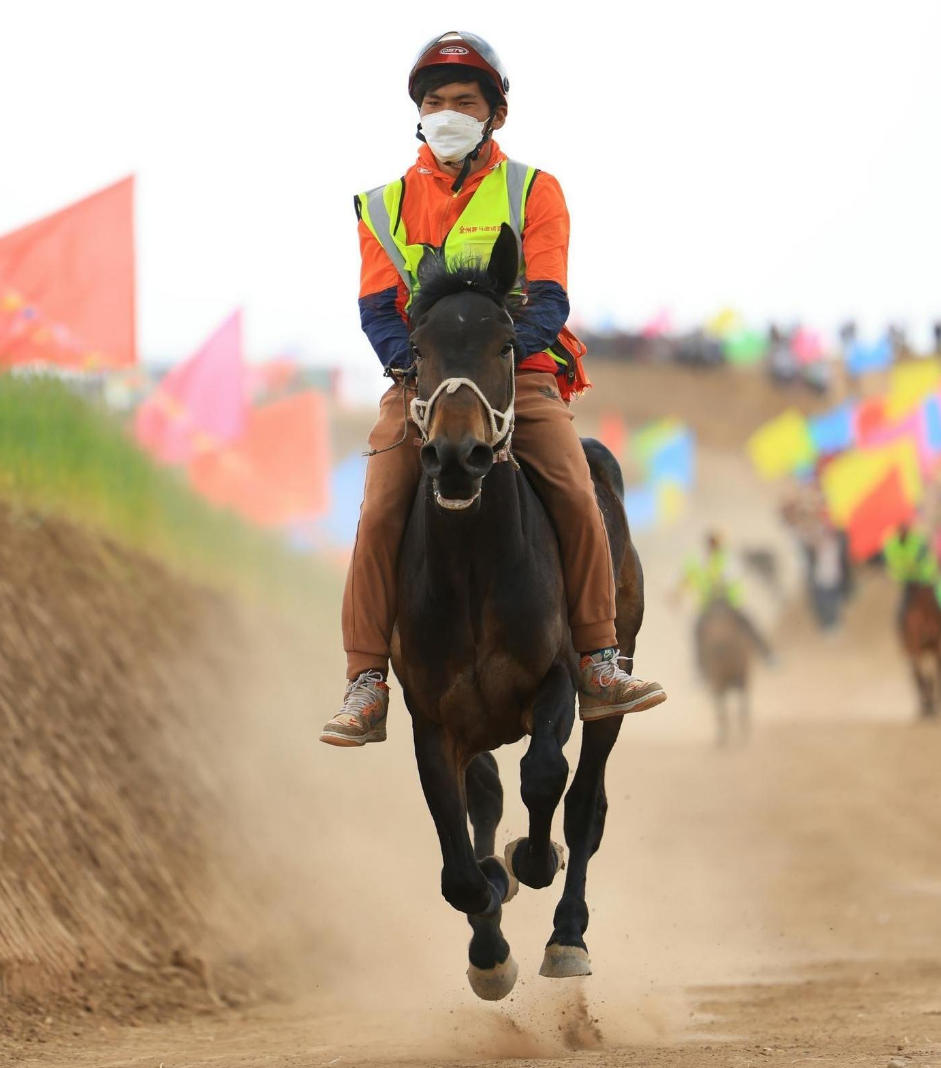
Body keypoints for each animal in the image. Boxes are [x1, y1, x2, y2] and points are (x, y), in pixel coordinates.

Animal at [388, 225, 645, 999]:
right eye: (418, 351)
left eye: (505, 344)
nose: (457, 455)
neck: (474, 566)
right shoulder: (433, 716)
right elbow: (459, 863)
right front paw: (489, 940)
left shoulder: (555, 680)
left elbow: (545, 777)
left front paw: (532, 860)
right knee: (487, 796)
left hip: (615, 671)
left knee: (585, 801)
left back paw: (566, 935)